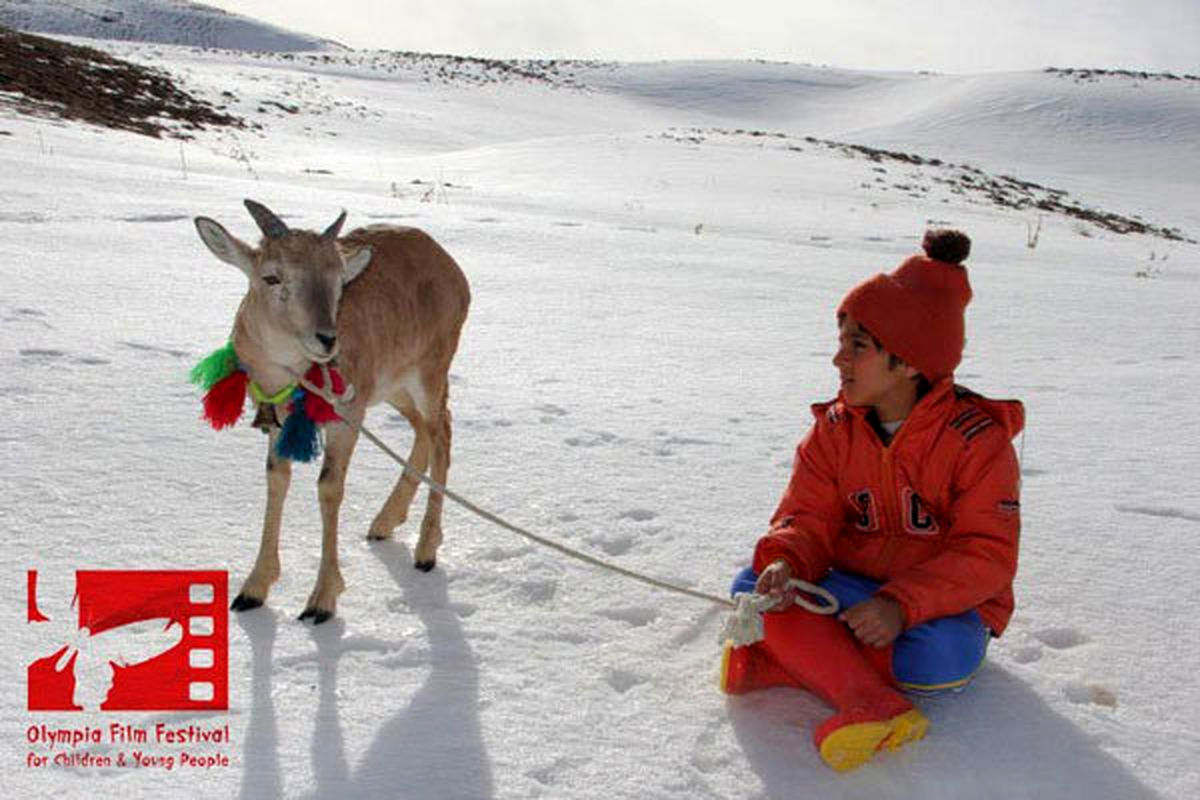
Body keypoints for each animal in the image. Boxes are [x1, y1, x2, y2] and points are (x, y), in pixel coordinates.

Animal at [192, 201, 468, 623]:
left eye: (339, 282)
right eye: (271, 277)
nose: (326, 339)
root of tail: (453, 270)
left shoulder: (346, 417)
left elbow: (329, 487)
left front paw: (321, 600)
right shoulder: (278, 420)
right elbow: (277, 478)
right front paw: (253, 590)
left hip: (430, 371)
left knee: (442, 433)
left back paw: (425, 550)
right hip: (392, 386)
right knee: (425, 429)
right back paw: (384, 522)